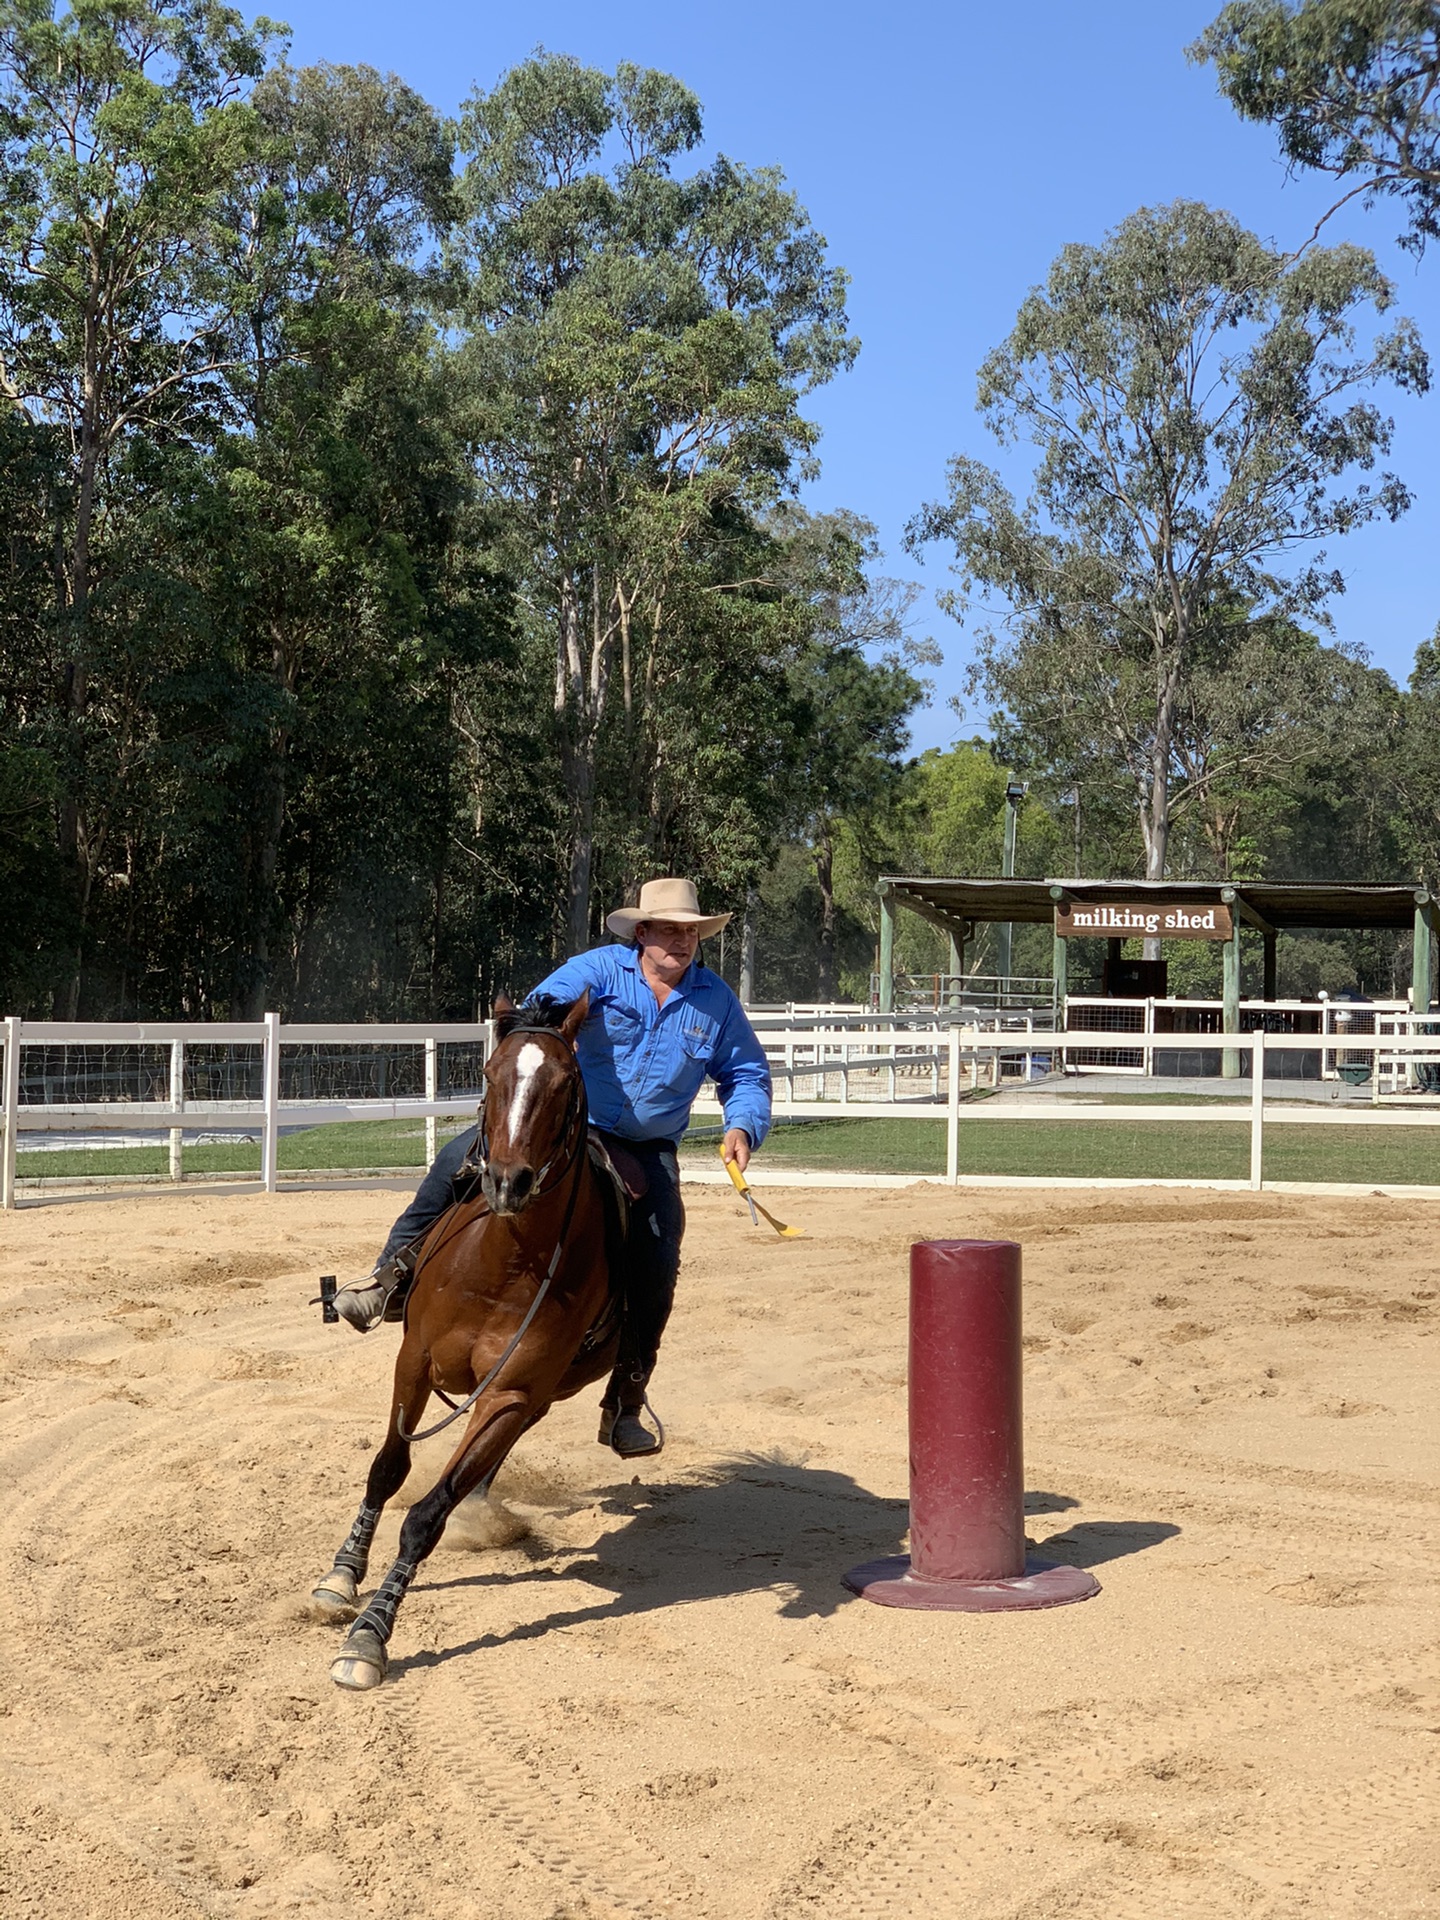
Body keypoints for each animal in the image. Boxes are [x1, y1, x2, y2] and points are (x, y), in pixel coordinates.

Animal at [312, 998, 622, 1689]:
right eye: (489, 1072)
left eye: (566, 1083)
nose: (508, 1182)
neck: (504, 1263)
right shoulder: (414, 1363)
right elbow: (386, 1471)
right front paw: (343, 1574)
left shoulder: (510, 1393)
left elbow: (428, 1514)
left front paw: (370, 1636)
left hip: (539, 1397)